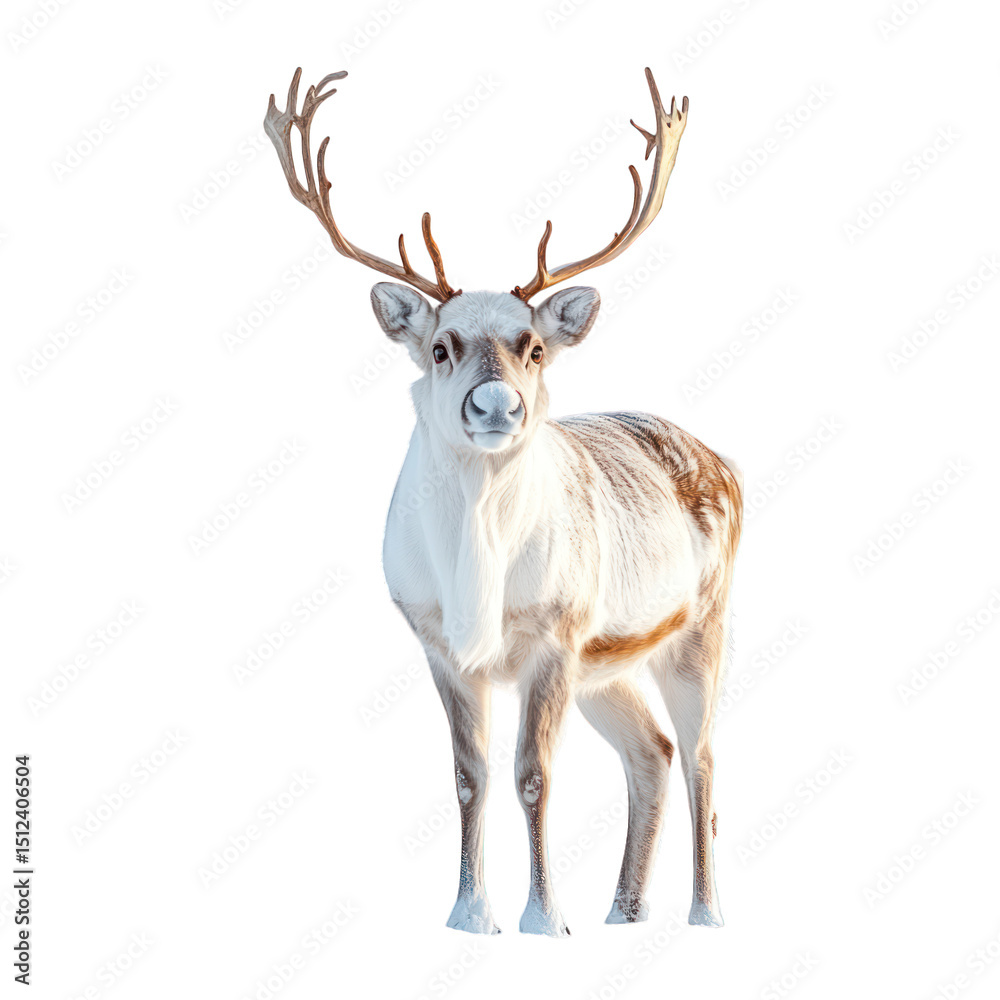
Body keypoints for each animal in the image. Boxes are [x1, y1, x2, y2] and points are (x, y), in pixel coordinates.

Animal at [264, 67, 742, 937]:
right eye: (440, 346)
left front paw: (543, 918)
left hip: (701, 626)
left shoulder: (556, 632)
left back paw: (703, 913)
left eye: (535, 347)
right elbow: (469, 775)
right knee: (651, 752)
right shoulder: (435, 641)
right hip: (609, 663)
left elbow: (532, 774)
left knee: (701, 758)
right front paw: (469, 913)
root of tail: (731, 465)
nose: (495, 405)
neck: (476, 585)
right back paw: (623, 912)